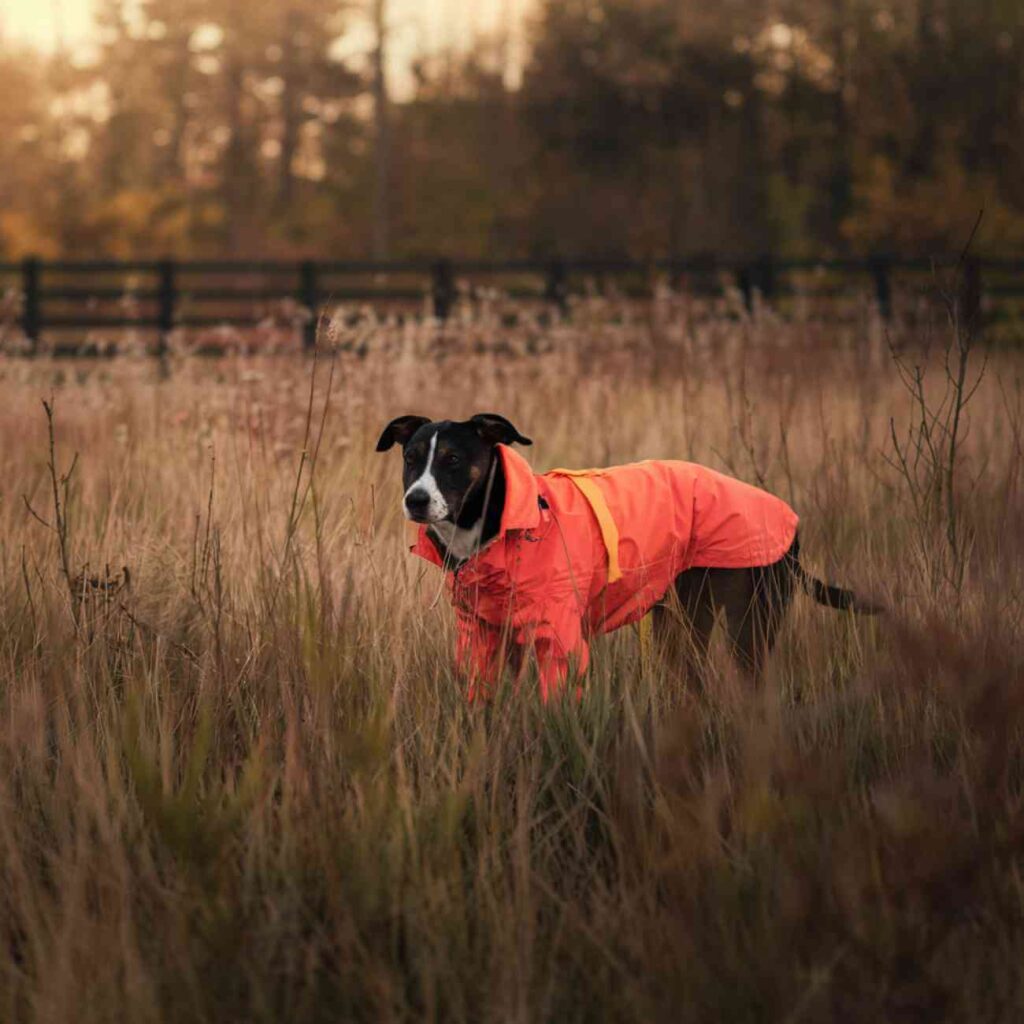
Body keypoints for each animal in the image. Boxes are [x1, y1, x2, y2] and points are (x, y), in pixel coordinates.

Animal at [376, 411, 880, 700]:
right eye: (411, 458)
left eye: (453, 459)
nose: (415, 500)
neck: (503, 521)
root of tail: (790, 528)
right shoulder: (482, 635)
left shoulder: (559, 639)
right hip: (681, 626)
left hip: (748, 625)